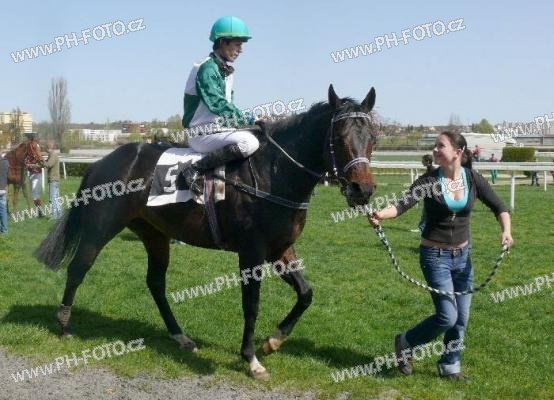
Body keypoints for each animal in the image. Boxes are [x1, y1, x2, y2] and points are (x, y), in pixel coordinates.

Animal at [35, 85, 378, 380]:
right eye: (338, 137)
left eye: (373, 136)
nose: (362, 189)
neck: (273, 174)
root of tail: (101, 162)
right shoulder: (251, 253)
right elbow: (251, 305)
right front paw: (251, 358)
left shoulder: (281, 249)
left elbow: (306, 294)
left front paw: (273, 341)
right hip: (100, 228)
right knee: (78, 267)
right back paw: (64, 325)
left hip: (155, 235)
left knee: (155, 283)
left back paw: (180, 336)